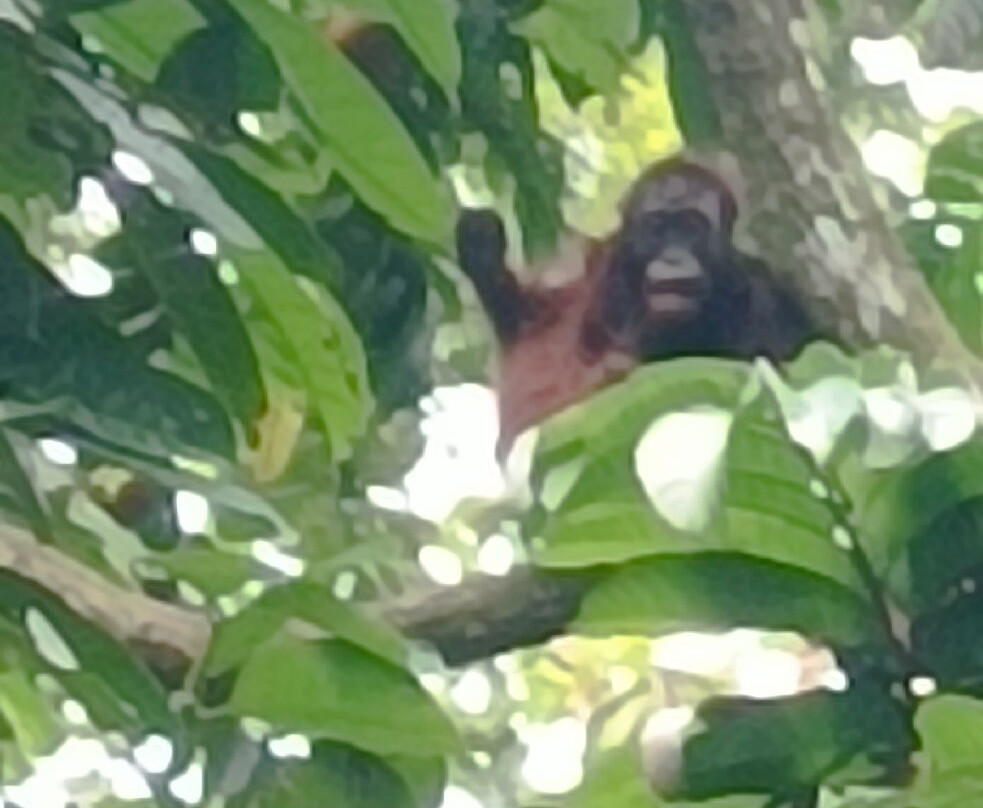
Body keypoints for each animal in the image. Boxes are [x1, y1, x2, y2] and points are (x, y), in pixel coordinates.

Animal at [455, 157, 820, 456]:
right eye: (657, 227)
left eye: (690, 227)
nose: (673, 257)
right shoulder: (597, 264)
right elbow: (537, 327)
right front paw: (482, 251)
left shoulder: (769, 298)